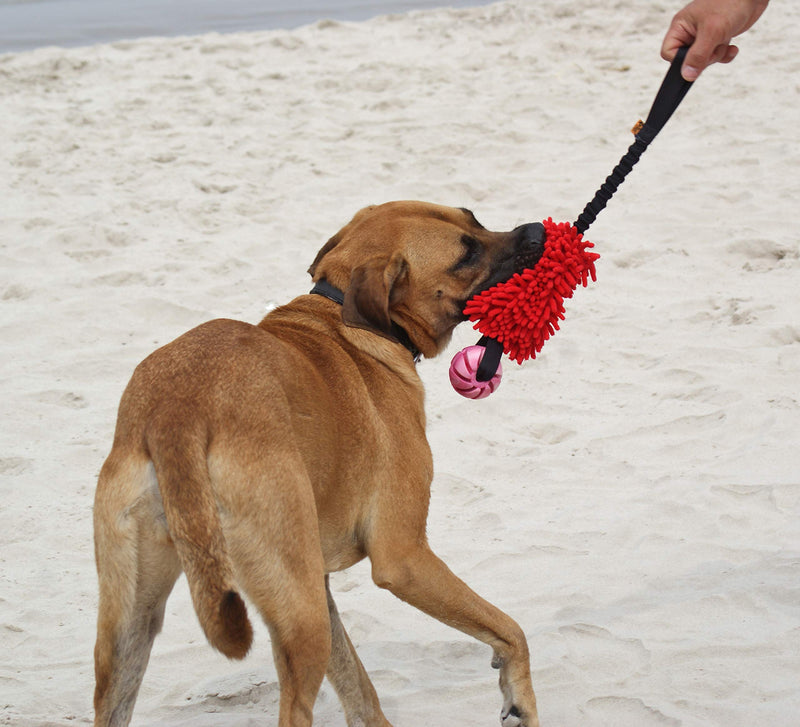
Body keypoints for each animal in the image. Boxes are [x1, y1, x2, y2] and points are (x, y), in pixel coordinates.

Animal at [92, 200, 544, 727]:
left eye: (471, 216)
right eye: (466, 253)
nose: (537, 231)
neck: (341, 313)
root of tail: (176, 413)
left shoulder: (320, 584)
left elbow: (357, 684)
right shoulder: (404, 558)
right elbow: (511, 629)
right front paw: (518, 697)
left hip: (135, 626)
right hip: (300, 617)